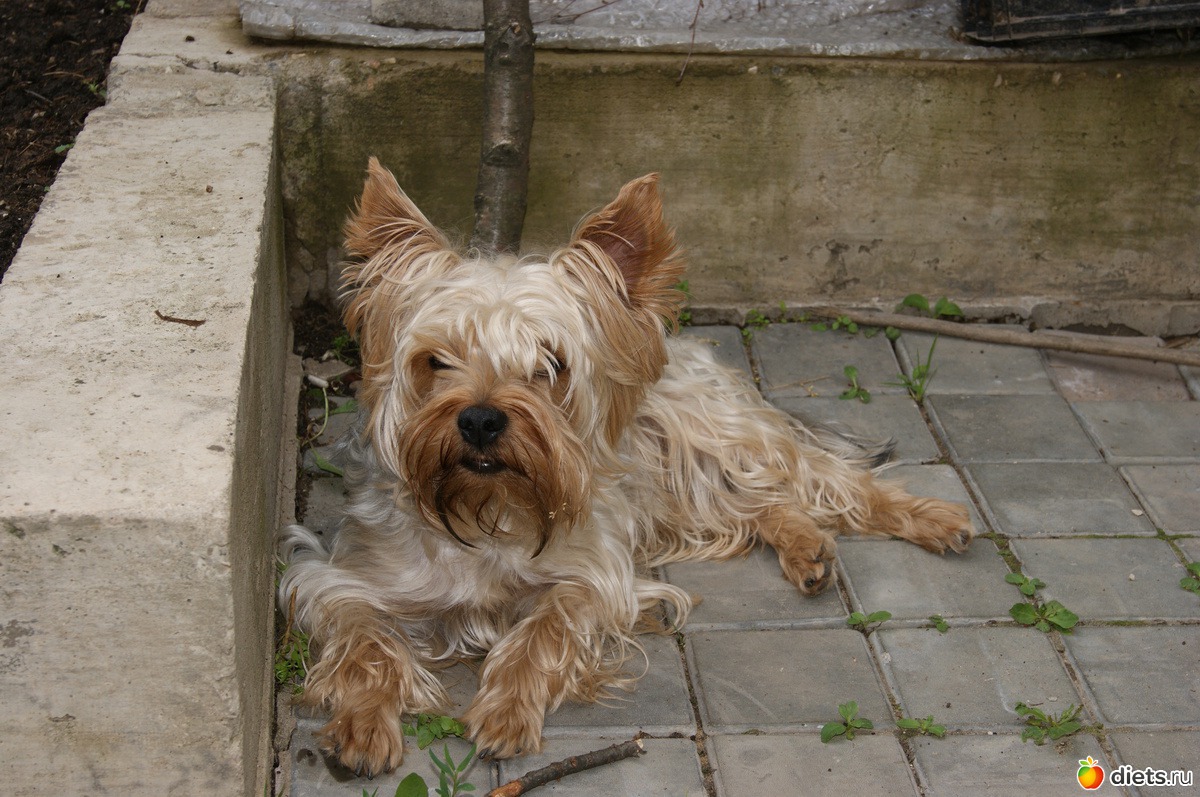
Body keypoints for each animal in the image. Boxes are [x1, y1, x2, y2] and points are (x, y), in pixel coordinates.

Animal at [279, 158, 974, 775]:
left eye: (550, 363)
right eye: (436, 360)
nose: (479, 420)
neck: (487, 507)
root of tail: (683, 343)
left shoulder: (593, 577)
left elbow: (545, 628)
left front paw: (506, 709)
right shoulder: (340, 578)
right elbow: (365, 636)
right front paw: (362, 724)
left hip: (710, 436)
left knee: (815, 477)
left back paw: (930, 518)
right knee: (759, 506)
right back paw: (808, 551)